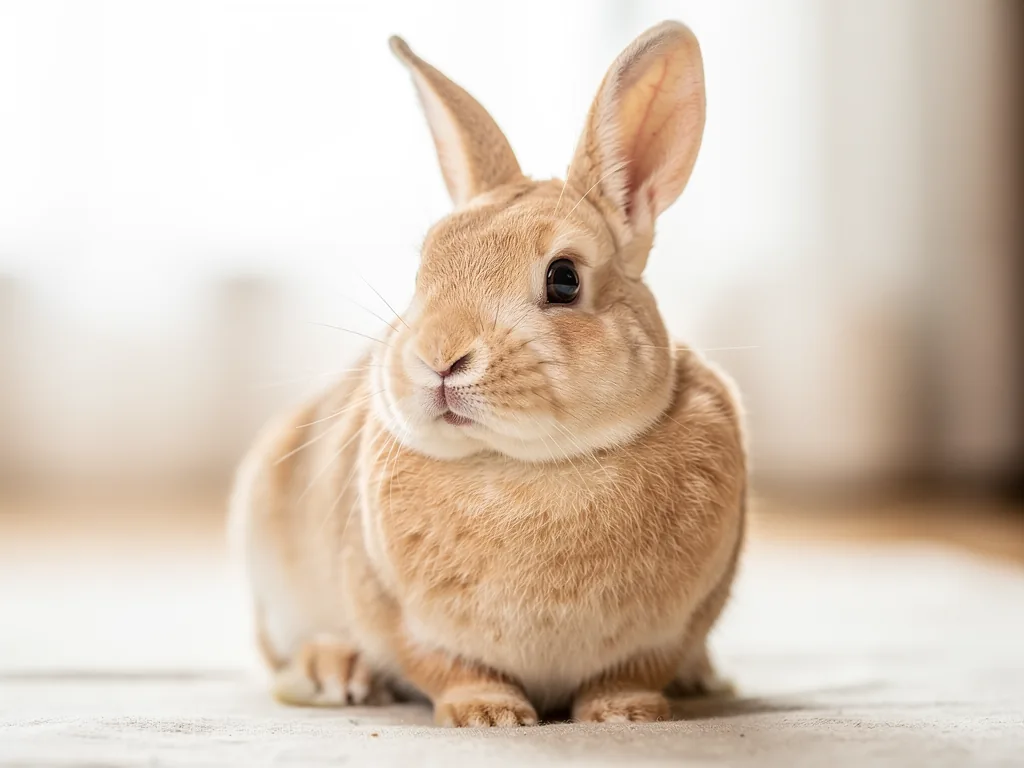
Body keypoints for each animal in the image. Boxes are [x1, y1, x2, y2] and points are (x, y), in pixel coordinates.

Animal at [229, 20, 746, 727]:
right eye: (424, 267)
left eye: (565, 279)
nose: (437, 357)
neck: (530, 465)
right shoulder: (401, 617)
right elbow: (447, 666)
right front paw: (490, 715)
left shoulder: (673, 626)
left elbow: (632, 673)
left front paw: (627, 715)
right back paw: (336, 671)